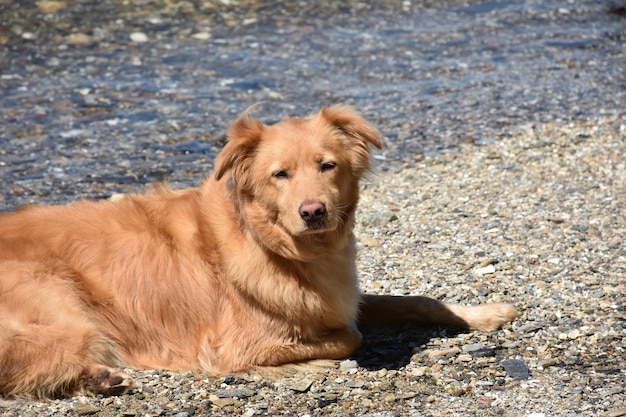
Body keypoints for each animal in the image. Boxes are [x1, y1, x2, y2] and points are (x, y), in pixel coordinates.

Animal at [0, 105, 516, 396]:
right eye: (279, 174)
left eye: (327, 166)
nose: (313, 211)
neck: (285, 249)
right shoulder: (236, 343)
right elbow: (348, 337)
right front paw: (310, 363)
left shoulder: (343, 299)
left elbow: (417, 300)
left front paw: (485, 313)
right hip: (68, 316)